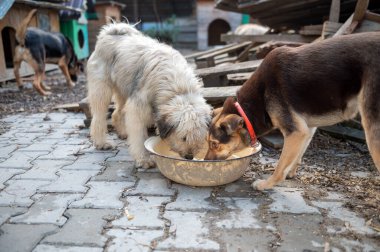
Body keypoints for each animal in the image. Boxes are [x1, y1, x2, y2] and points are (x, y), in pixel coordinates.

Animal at [86, 22, 212, 168]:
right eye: (184, 138)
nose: (189, 157)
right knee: (99, 117)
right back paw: (101, 142)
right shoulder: (137, 108)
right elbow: (139, 136)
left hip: (124, 90)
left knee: (117, 113)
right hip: (101, 90)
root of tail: (109, 32)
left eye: (198, 138)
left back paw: (123, 133)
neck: (178, 88)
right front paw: (144, 159)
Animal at [206, 31, 378, 190]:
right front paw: (291, 171)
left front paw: (267, 184)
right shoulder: (306, 130)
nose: (205, 162)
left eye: (214, 144)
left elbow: (280, 166)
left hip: (372, 133)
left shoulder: (295, 132)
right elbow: (297, 155)